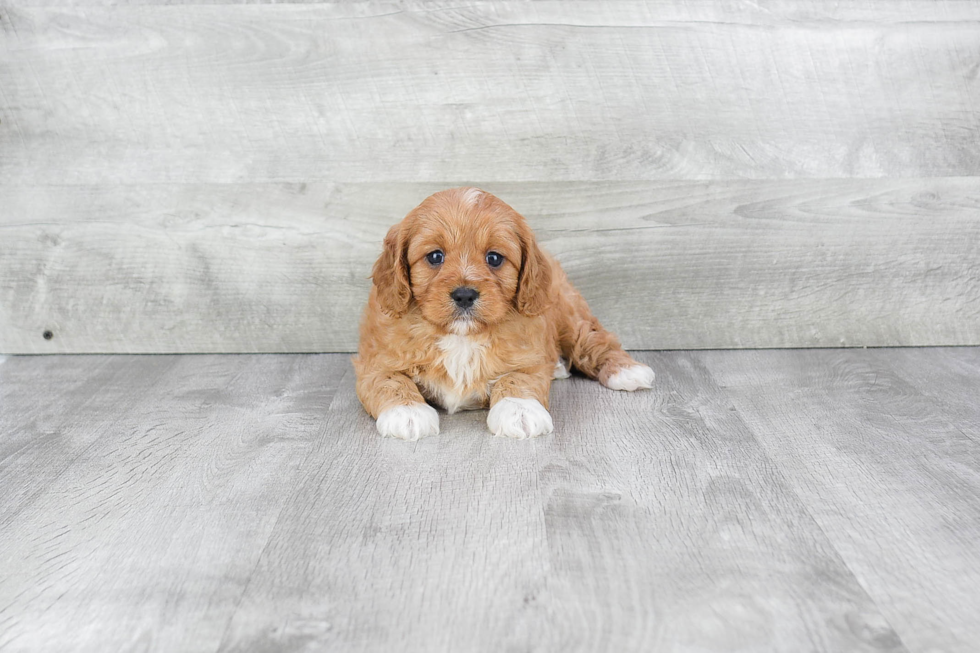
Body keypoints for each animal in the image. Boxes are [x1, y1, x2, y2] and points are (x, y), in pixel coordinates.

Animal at [356, 188, 656, 444]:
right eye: (435, 257)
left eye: (494, 258)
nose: (464, 294)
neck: (461, 335)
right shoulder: (374, 361)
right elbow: (390, 380)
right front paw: (407, 412)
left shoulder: (528, 356)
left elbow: (518, 378)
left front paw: (519, 409)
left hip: (568, 314)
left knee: (593, 340)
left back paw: (626, 370)